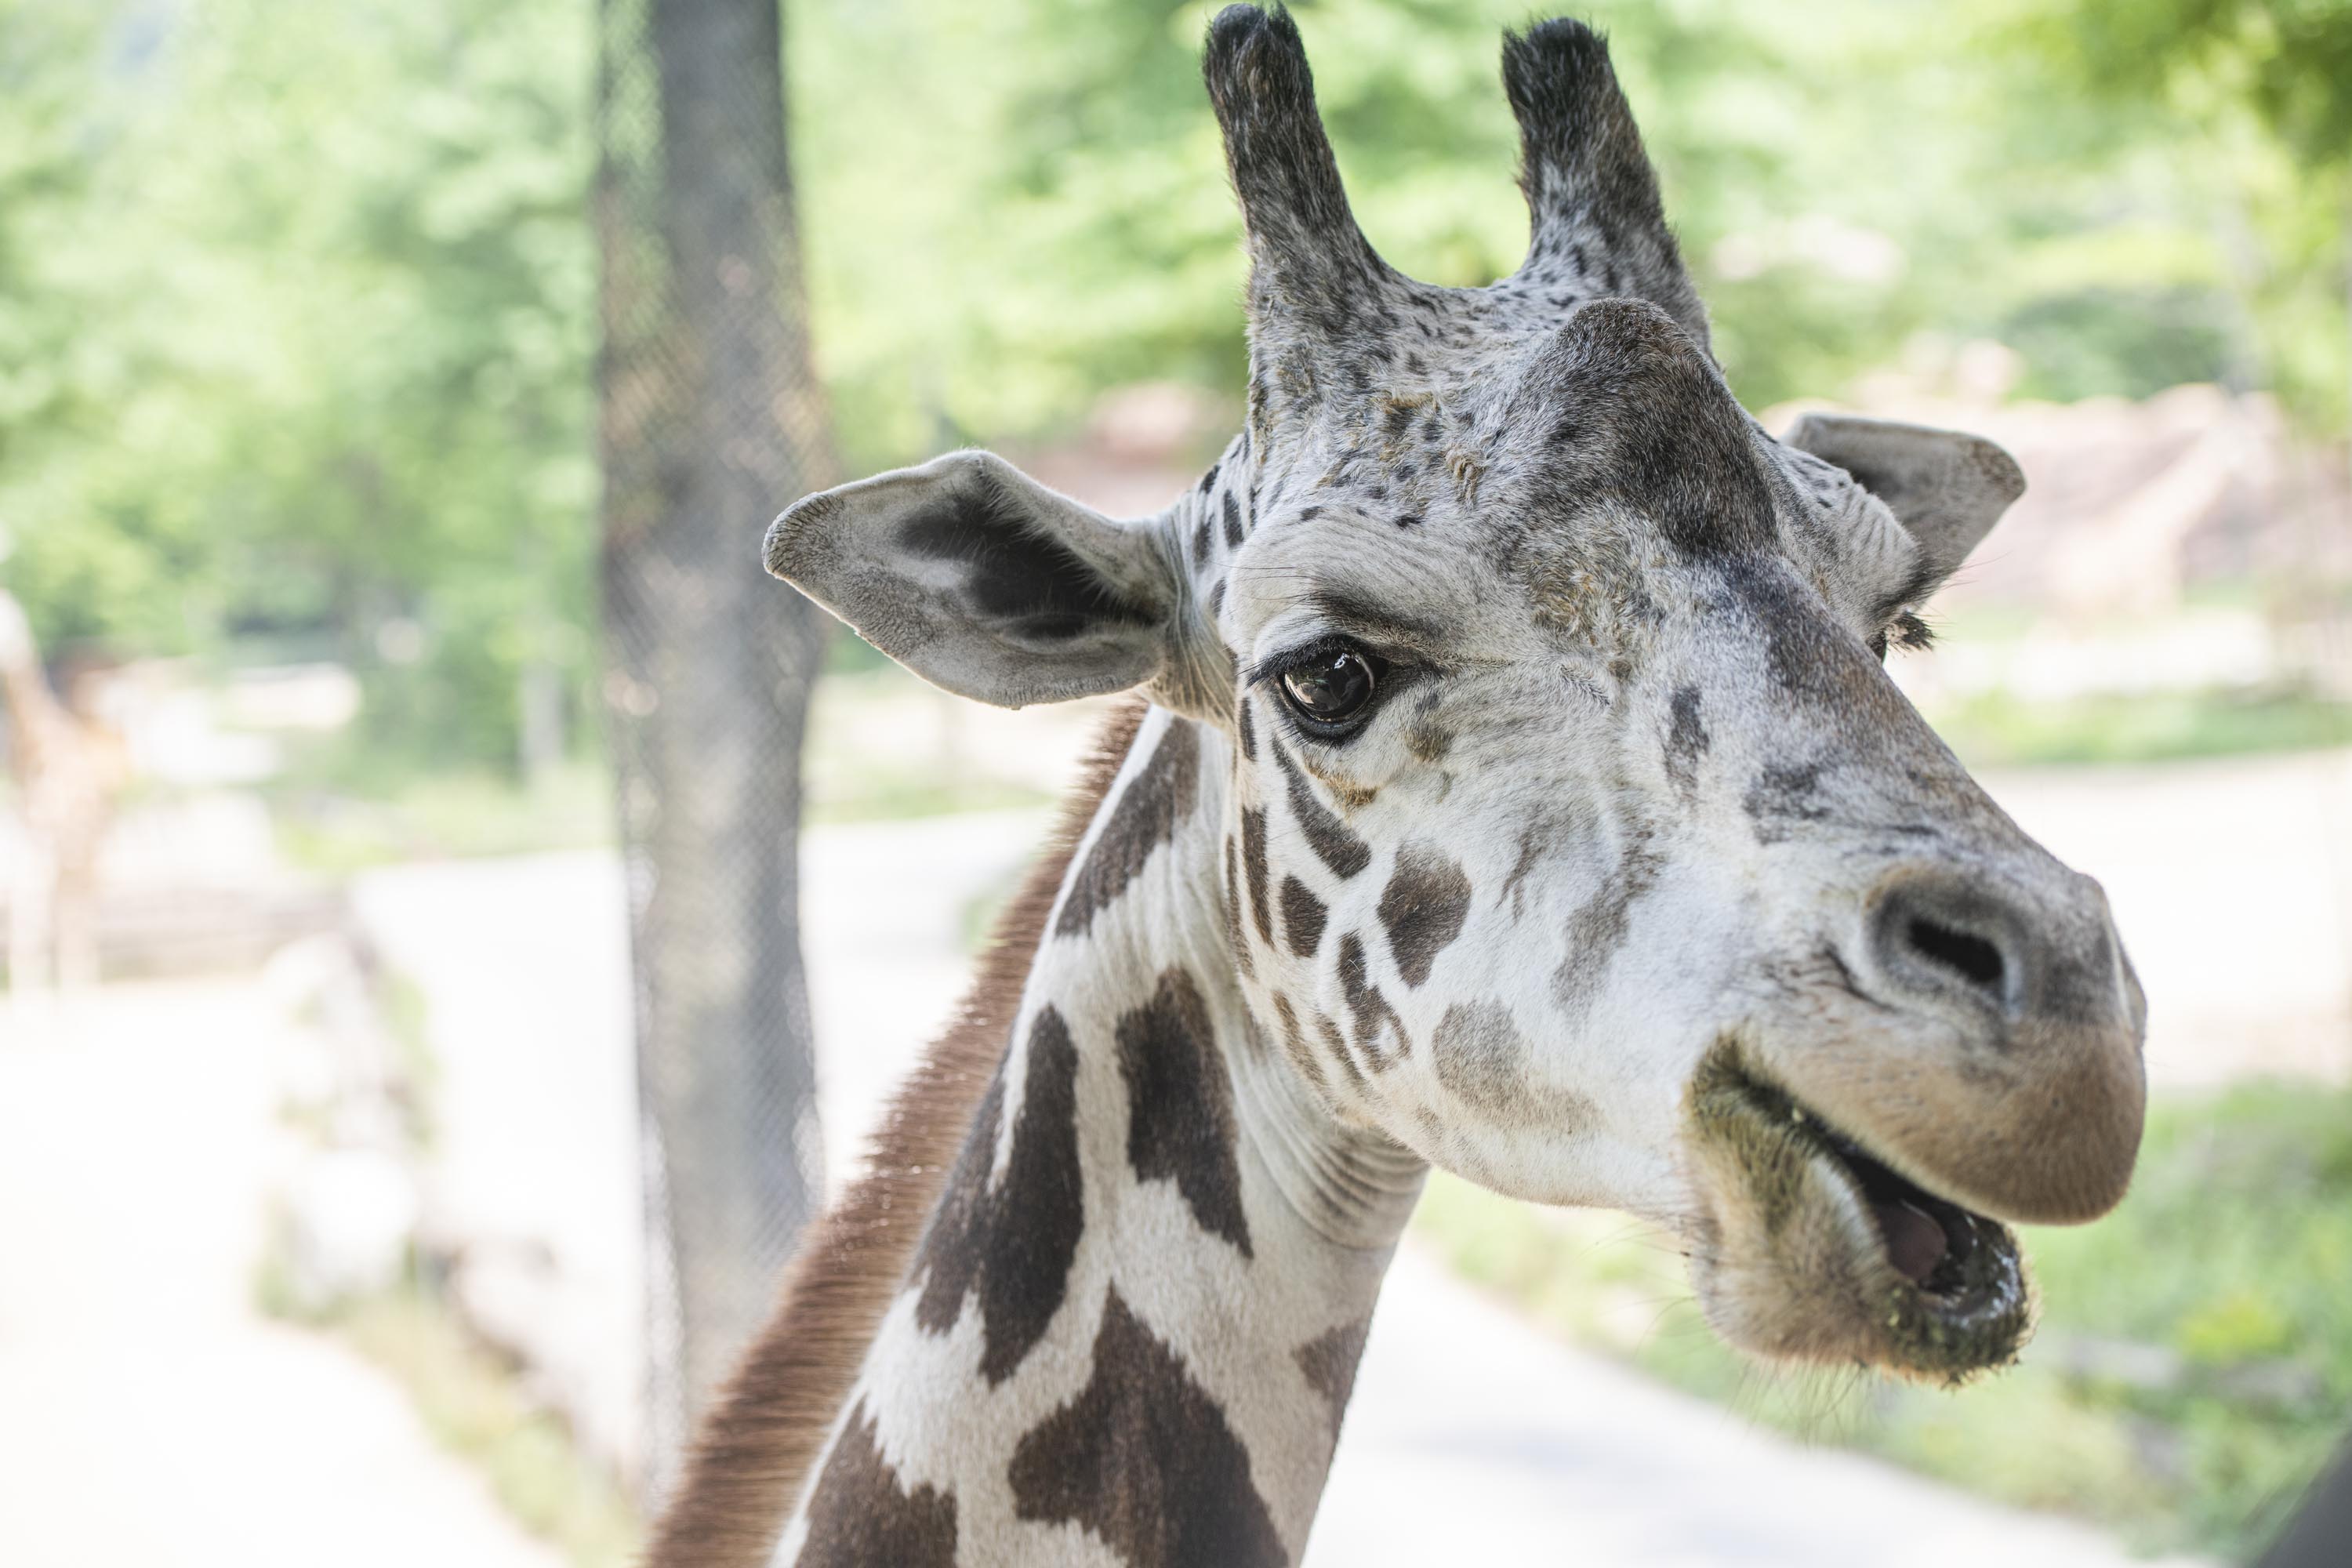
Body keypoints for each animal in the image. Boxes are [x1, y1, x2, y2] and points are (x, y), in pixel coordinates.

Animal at [0, 583, 122, 1001]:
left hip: (91, 847)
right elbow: (25, 933)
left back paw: (81, 1002)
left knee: (81, 920)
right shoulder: (23, 851)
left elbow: (45, 932)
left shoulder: (51, 848)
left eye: (12, 618)